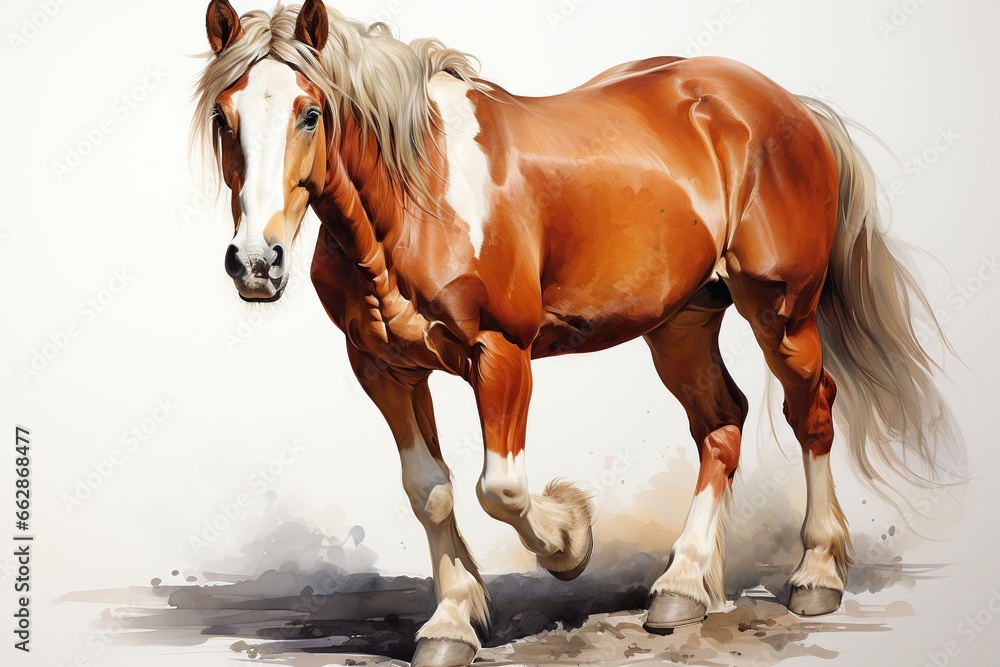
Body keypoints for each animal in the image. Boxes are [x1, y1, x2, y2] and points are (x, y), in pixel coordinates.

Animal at [193, 2, 959, 665]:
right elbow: (429, 489)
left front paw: (569, 540)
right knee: (722, 421)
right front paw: (452, 621)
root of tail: (788, 106)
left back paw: (816, 573)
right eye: (225, 118)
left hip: (782, 310)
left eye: (311, 112)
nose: (255, 261)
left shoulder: (501, 354)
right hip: (682, 323)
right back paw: (685, 586)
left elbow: (499, 488)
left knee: (813, 410)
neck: (421, 198)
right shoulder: (383, 367)